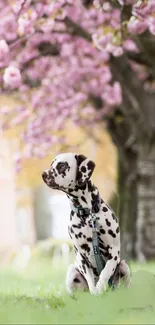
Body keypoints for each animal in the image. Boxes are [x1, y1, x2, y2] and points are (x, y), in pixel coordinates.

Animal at [42, 152, 131, 294]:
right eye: (51, 164)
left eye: (62, 165)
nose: (43, 174)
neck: (88, 214)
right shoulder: (82, 257)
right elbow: (91, 281)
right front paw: (95, 293)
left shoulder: (114, 252)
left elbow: (105, 272)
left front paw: (100, 287)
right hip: (72, 271)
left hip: (124, 265)